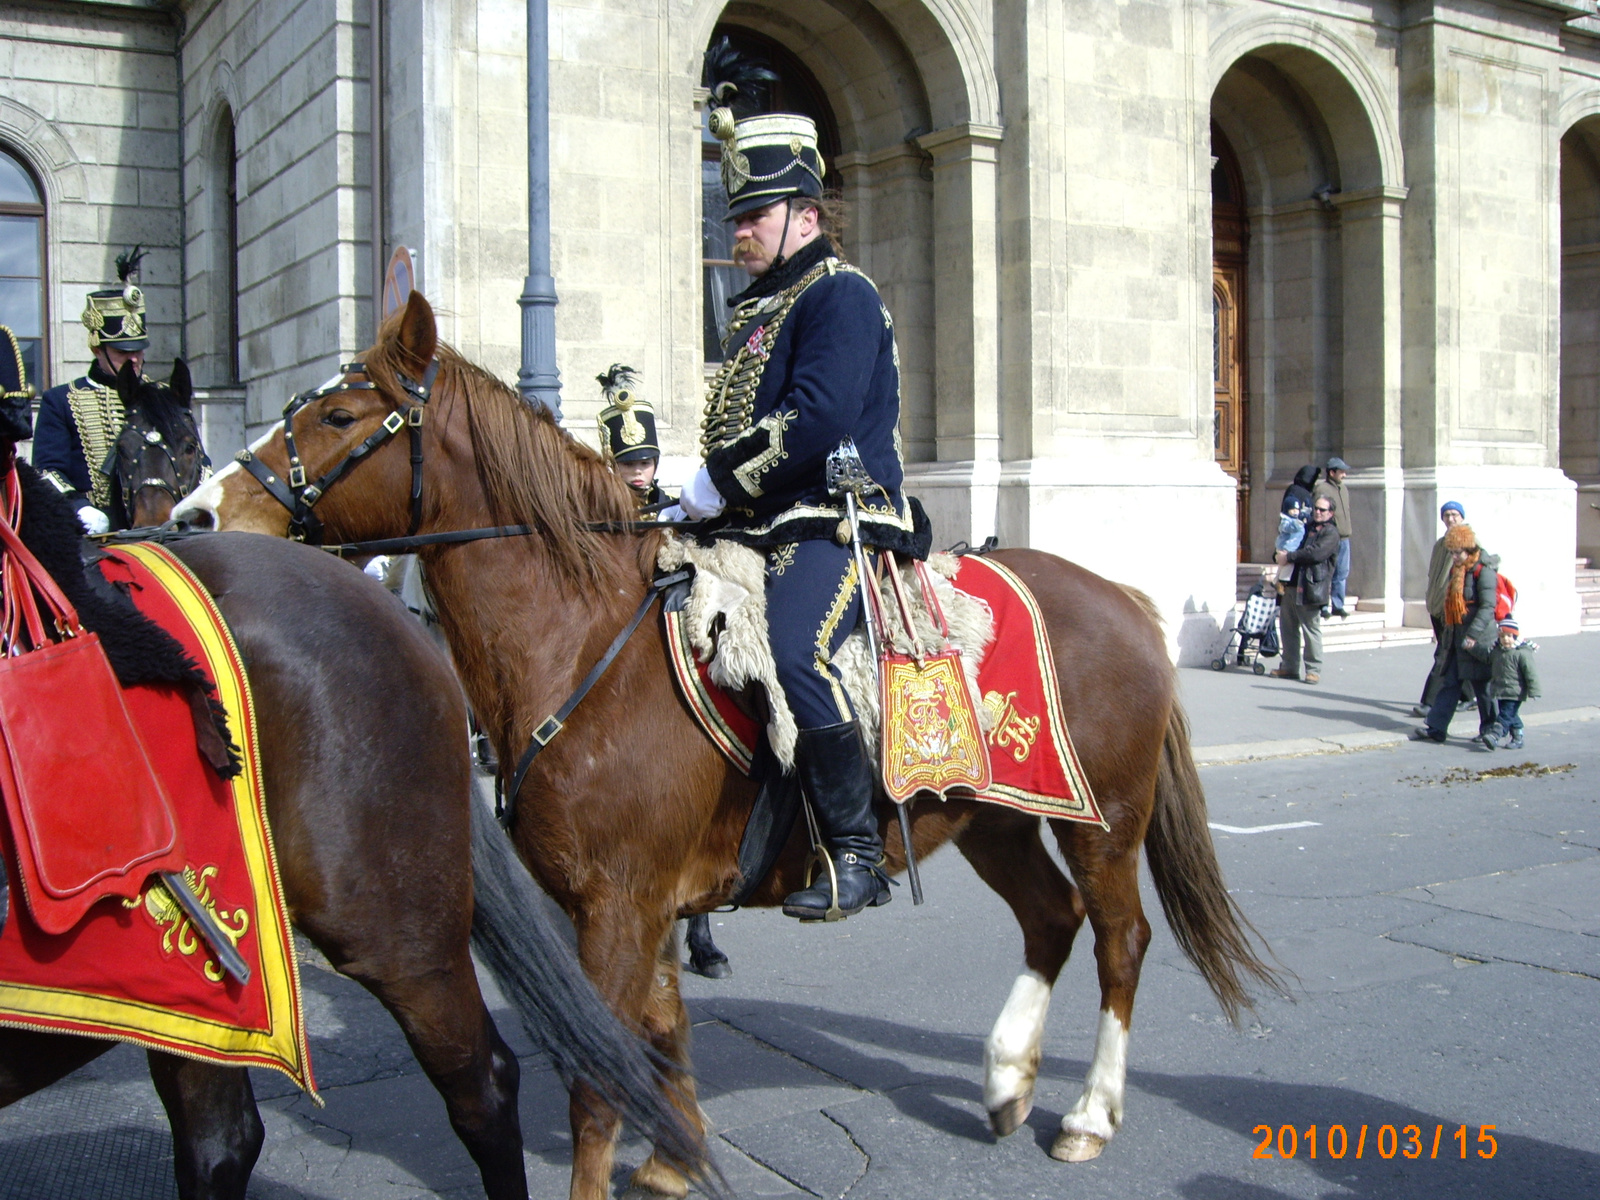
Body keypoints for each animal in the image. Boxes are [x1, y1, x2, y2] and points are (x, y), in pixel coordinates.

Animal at [178, 294, 1286, 1200]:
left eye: (338, 416)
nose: (196, 512)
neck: (585, 639)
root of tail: (1124, 596)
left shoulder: (618, 906)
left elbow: (600, 1082)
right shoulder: (630, 904)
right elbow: (662, 1037)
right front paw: (679, 1159)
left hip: (1102, 821)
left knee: (1119, 939)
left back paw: (1088, 1114)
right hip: (991, 822)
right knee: (1051, 922)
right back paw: (1008, 1079)